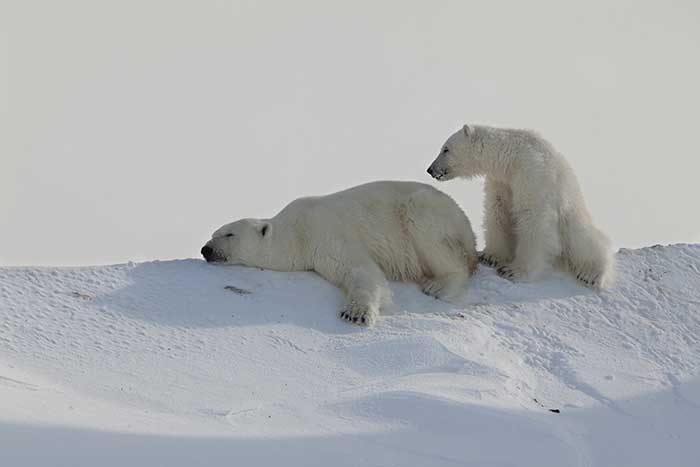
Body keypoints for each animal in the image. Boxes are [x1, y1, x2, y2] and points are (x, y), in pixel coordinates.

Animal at [200, 181, 478, 328]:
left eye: (228, 234)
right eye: (213, 233)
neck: (296, 232)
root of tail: (466, 224)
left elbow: (360, 269)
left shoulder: (325, 231)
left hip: (425, 212)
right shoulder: (316, 251)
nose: (206, 249)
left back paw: (439, 286)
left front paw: (355, 314)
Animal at [426, 124, 612, 288]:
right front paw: (490, 256)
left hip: (571, 215)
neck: (512, 158)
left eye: (445, 149)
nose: (430, 169)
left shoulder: (532, 175)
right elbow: (498, 212)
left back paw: (591, 274)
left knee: (584, 240)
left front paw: (513, 271)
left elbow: (533, 219)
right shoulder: (501, 181)